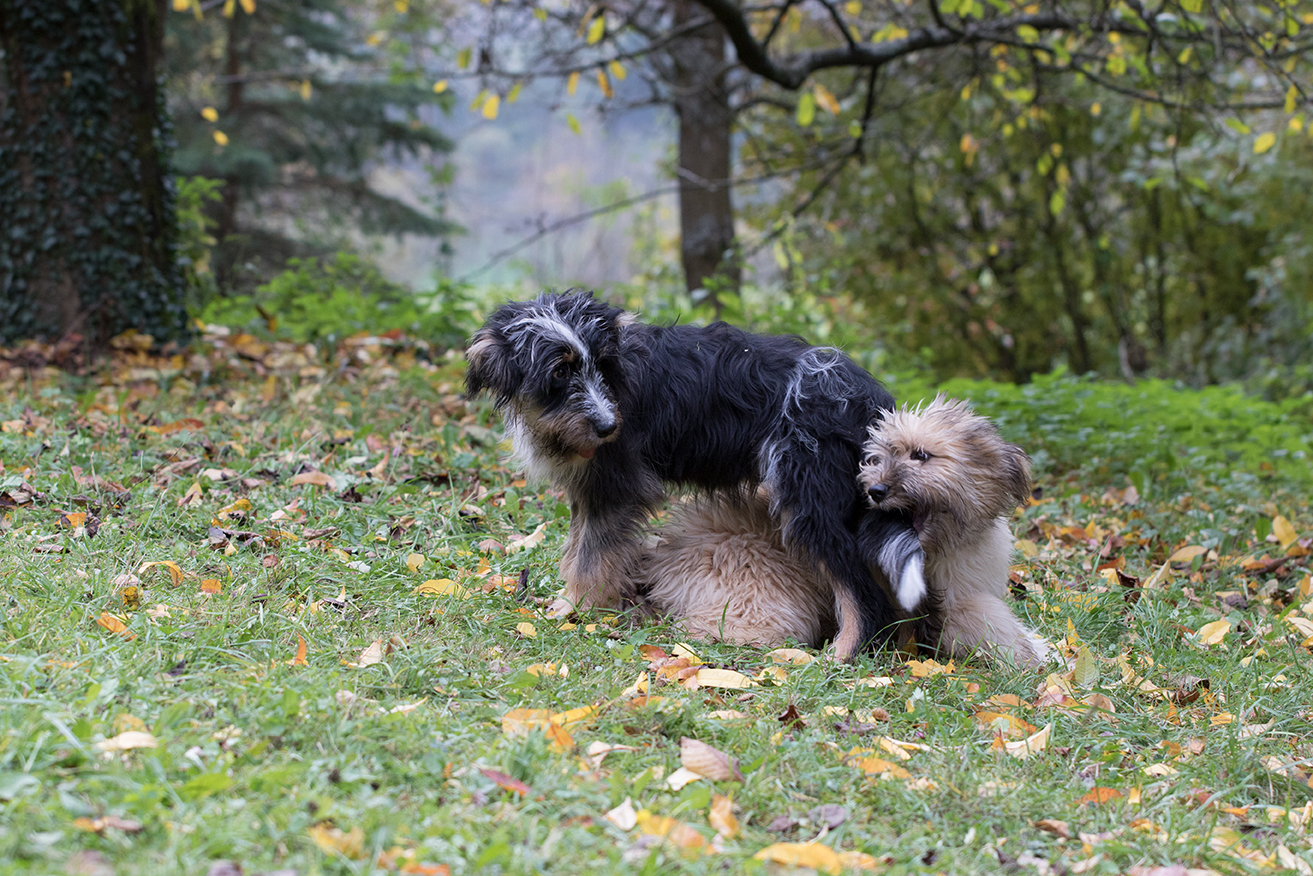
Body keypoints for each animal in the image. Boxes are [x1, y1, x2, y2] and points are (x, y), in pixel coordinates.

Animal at [465, 290, 925, 661]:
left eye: (603, 365)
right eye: (560, 371)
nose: (608, 427)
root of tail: (875, 402)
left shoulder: (616, 486)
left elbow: (591, 557)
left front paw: (574, 607)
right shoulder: (591, 488)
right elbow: (580, 548)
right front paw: (575, 601)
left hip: (809, 500)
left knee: (861, 592)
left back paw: (842, 654)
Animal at [642, 397, 1050, 668]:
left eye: (921, 454)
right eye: (878, 456)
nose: (876, 491)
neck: (933, 549)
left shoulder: (962, 586)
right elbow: (986, 619)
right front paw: (1030, 658)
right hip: (763, 586)